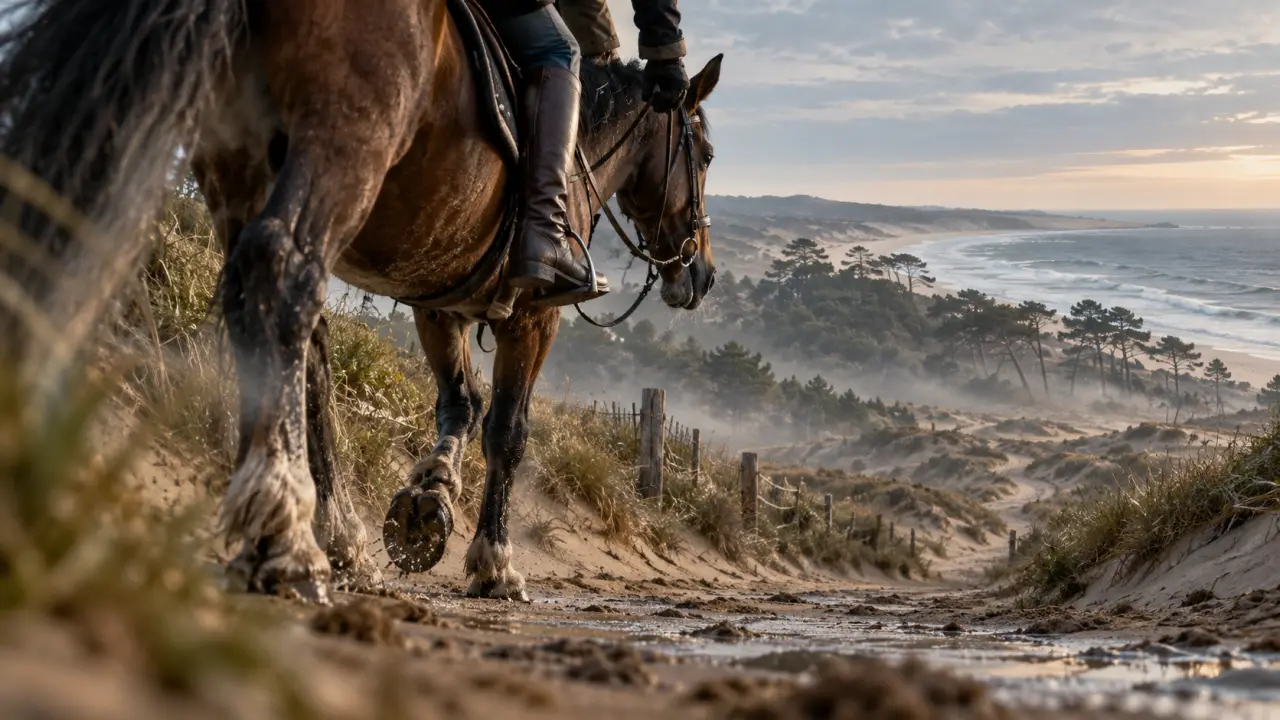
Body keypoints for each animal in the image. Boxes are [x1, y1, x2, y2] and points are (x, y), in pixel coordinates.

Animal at [0, 0, 720, 604]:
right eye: (707, 155)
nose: (703, 274)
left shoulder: (436, 299)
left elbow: (460, 402)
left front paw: (429, 499)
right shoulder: (535, 317)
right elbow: (507, 430)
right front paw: (494, 562)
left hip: (238, 161)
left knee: (286, 326)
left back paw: (333, 538)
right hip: (344, 141)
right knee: (281, 271)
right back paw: (287, 534)